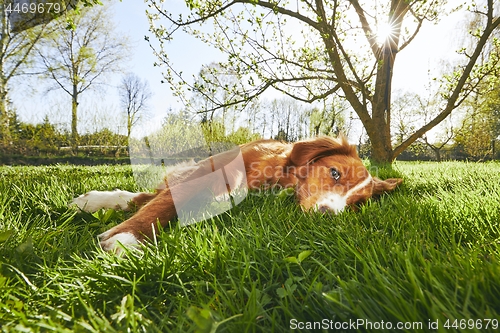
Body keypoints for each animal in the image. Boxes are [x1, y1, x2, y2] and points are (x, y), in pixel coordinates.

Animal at [71, 136, 402, 250]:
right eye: (334, 173)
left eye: (357, 205)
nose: (329, 215)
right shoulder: (205, 173)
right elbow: (162, 206)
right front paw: (127, 237)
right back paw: (95, 200)